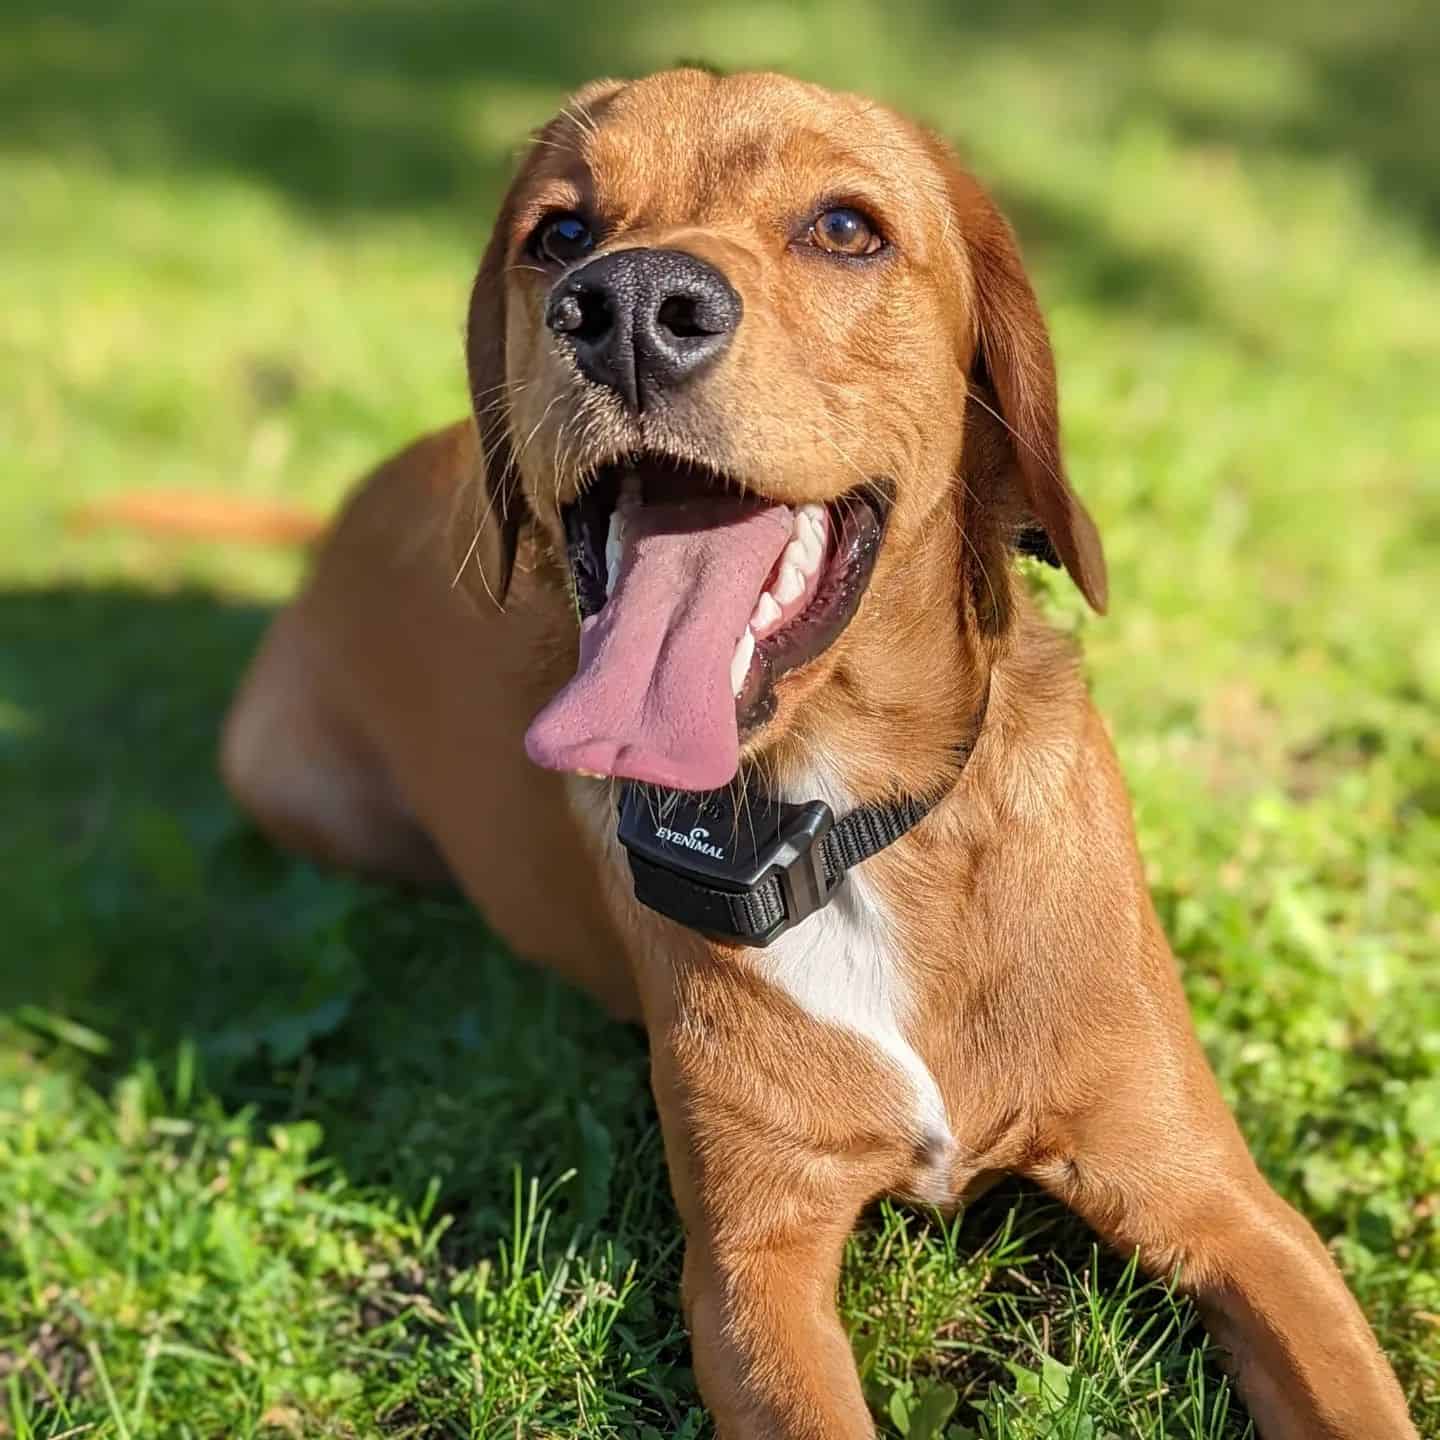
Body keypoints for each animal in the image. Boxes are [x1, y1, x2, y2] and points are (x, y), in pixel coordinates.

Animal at [218, 67, 1411, 1440]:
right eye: (559, 233)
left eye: (846, 228)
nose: (630, 308)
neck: (845, 821)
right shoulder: (752, 1266)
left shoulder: (1224, 1203)